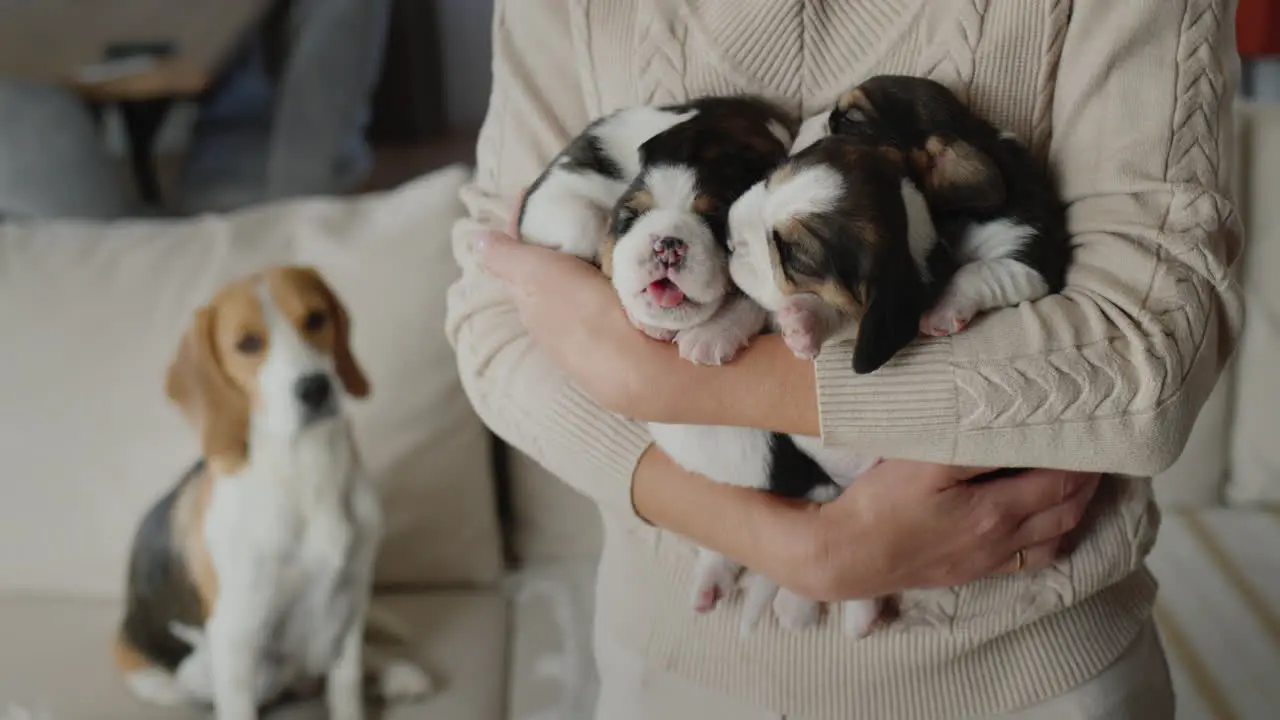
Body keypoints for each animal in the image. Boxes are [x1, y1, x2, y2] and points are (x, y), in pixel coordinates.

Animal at [112, 265, 430, 717]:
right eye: (247, 343)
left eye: (315, 318)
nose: (315, 388)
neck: (307, 469)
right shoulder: (237, 635)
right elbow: (239, 701)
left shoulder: (350, 603)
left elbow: (347, 687)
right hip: (173, 678)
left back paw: (396, 674)